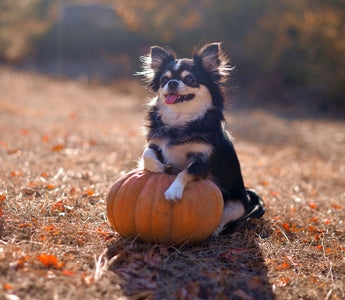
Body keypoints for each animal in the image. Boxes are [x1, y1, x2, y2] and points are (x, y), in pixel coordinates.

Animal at [137, 42, 264, 234]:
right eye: (163, 81)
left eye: (190, 80)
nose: (172, 83)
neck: (180, 120)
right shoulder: (155, 145)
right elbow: (147, 154)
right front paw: (158, 167)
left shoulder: (202, 161)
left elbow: (185, 172)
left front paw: (173, 191)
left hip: (238, 205)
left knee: (224, 220)